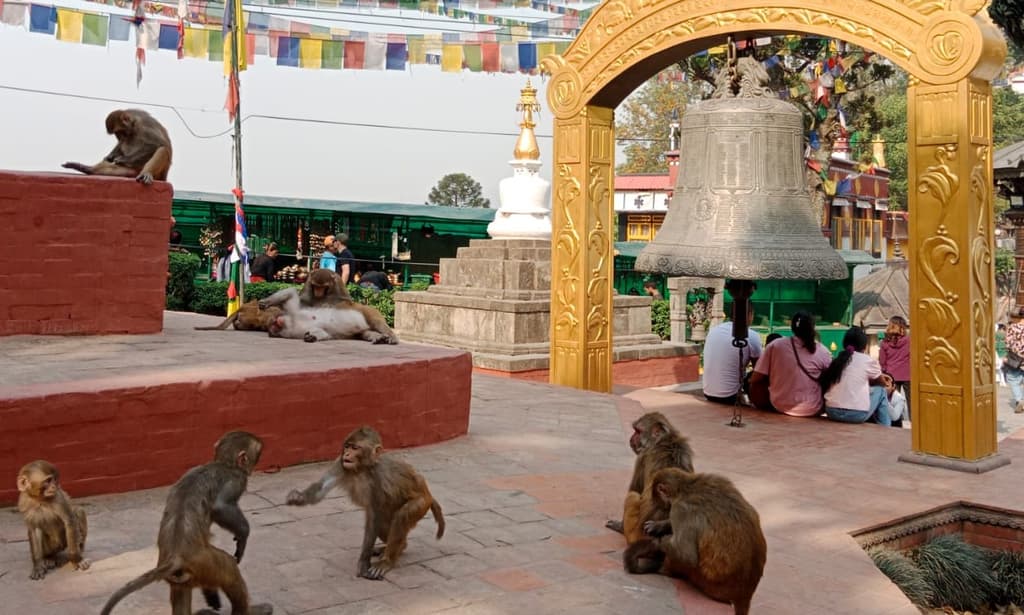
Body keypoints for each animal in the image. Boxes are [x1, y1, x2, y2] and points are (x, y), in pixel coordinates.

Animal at [100, 431, 272, 615]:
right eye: (258, 454)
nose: (254, 466)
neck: (224, 463)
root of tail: (175, 557)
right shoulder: (236, 479)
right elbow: (221, 507)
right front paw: (243, 536)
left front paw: (210, 593)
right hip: (205, 562)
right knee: (229, 568)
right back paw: (248, 610)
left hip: (183, 574)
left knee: (181, 590)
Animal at [258, 270, 398, 344]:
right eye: (272, 324)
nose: (275, 322)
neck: (292, 321)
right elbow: (324, 333)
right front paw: (312, 337)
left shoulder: (294, 310)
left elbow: (291, 292)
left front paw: (266, 302)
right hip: (363, 328)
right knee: (365, 332)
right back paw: (378, 337)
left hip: (369, 311)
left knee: (376, 322)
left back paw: (391, 336)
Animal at [285, 426, 444, 580]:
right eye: (347, 447)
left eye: (355, 448)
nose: (346, 454)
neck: (362, 469)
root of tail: (428, 493)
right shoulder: (340, 463)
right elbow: (321, 488)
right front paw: (298, 497)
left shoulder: (378, 479)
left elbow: (374, 518)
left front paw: (363, 562)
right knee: (386, 522)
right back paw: (398, 547)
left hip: (421, 503)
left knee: (401, 516)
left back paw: (387, 561)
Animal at [606, 412, 694, 545]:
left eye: (638, 431)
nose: (631, 438)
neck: (664, 441)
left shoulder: (643, 456)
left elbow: (635, 490)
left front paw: (619, 525)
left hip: (634, 533)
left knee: (632, 495)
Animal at [623, 468, 766, 615]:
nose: (661, 506)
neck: (686, 487)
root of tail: (745, 594)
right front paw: (660, 525)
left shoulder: (680, 509)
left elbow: (687, 556)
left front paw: (658, 541)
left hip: (706, 582)